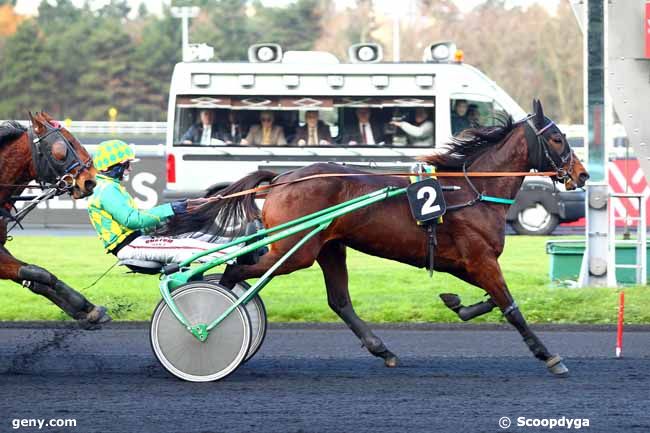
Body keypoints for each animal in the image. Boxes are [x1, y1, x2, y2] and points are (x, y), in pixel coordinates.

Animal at [166, 99, 588, 376]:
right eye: (556, 139)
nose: (582, 174)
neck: (472, 191)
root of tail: (283, 178)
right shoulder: (480, 259)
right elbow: (510, 306)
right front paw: (549, 356)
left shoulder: (463, 262)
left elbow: (488, 301)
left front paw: (455, 303)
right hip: (295, 250)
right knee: (235, 272)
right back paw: (207, 325)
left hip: (328, 247)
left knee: (338, 301)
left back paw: (382, 349)